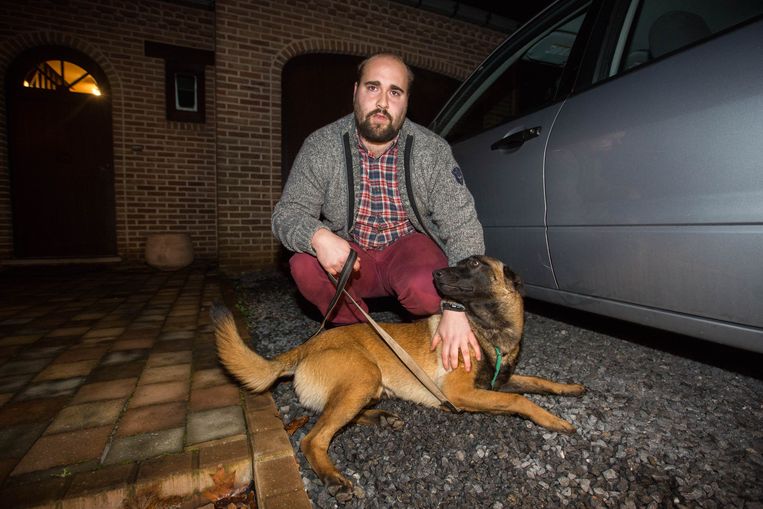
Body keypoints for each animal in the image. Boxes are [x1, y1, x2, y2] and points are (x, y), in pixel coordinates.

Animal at [212, 254, 588, 496]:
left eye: (475, 265)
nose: (436, 273)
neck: (487, 328)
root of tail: (306, 345)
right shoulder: (461, 393)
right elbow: (520, 399)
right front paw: (554, 420)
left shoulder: (499, 381)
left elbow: (538, 382)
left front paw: (569, 387)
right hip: (364, 375)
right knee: (313, 437)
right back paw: (334, 478)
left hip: (367, 386)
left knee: (338, 416)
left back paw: (382, 418)